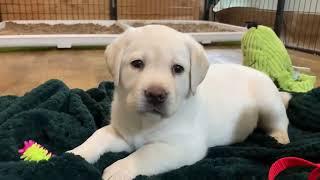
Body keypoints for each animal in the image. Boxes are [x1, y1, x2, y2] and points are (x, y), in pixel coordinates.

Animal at [68, 25, 290, 180]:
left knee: (282, 121)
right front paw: (77, 153)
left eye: (178, 69)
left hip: (269, 104)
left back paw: (278, 138)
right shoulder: (123, 134)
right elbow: (99, 135)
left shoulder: (184, 145)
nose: (156, 94)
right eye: (137, 64)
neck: (146, 122)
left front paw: (121, 168)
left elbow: (147, 152)